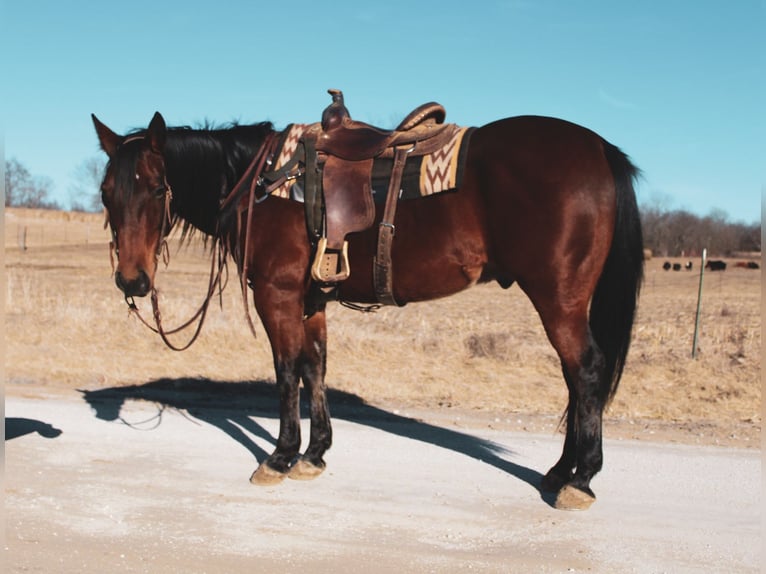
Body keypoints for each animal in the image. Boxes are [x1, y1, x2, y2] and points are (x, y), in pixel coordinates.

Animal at [93, 104, 644, 512]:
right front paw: (315, 454)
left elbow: (286, 371)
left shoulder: (277, 293)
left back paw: (580, 479)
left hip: (559, 299)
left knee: (585, 371)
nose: (133, 280)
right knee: (575, 379)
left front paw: (281, 456)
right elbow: (314, 368)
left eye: (158, 188)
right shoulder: (311, 299)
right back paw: (560, 471)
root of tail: (598, 148)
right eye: (105, 192)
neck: (262, 183)